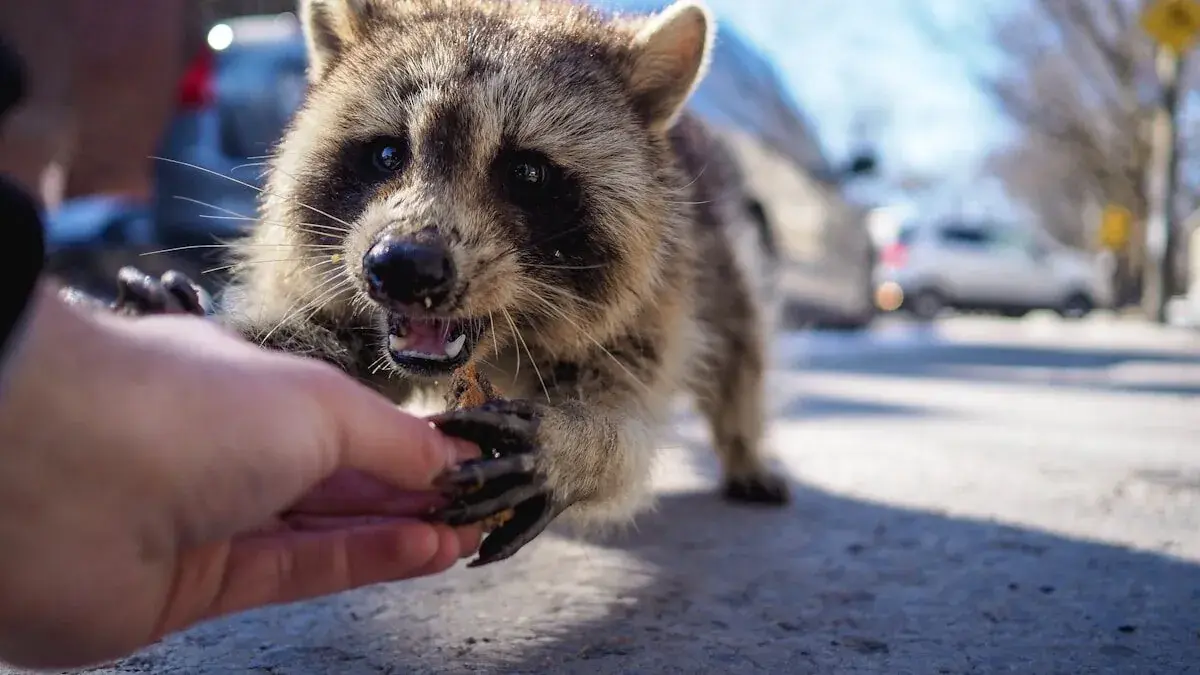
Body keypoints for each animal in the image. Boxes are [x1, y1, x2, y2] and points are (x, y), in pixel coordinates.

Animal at [69, 0, 791, 567]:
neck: (499, 340)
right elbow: (323, 344)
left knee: (742, 342)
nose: (402, 266)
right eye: (387, 152)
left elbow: (631, 419)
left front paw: (581, 443)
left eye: (527, 172)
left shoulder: (660, 296)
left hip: (719, 249)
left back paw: (744, 444)